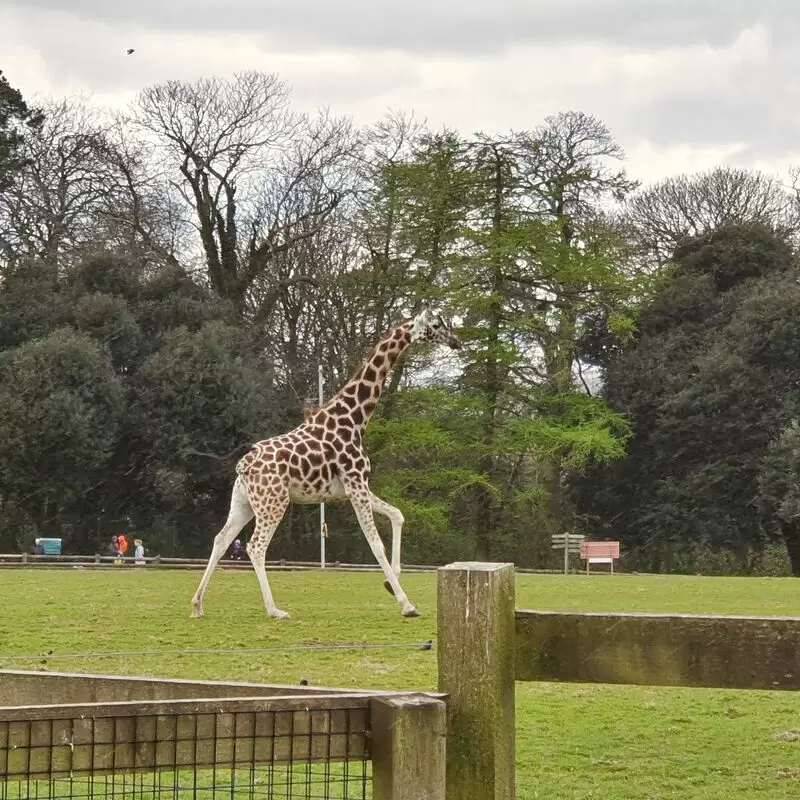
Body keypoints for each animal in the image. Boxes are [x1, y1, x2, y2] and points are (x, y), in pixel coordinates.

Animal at [190, 306, 460, 620]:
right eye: (437, 325)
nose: (456, 341)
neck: (356, 419)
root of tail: (243, 467)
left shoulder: (351, 488)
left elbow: (397, 515)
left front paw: (390, 585)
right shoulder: (356, 484)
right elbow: (375, 543)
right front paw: (407, 604)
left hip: (244, 502)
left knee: (221, 539)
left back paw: (198, 605)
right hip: (274, 502)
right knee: (256, 546)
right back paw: (275, 610)